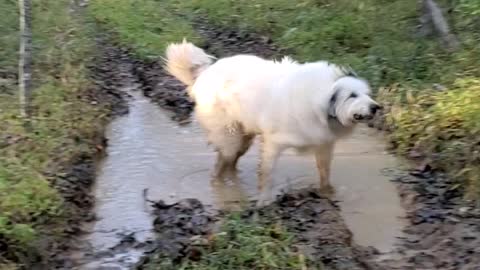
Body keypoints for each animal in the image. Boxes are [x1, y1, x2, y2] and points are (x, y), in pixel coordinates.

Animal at [164, 39, 378, 205]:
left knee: (231, 162)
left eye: (367, 94)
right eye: (352, 95)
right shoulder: (273, 143)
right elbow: (268, 174)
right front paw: (265, 201)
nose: (376, 107)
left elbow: (324, 171)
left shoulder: (324, 144)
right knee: (222, 163)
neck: (320, 102)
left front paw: (328, 193)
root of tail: (205, 72)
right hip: (229, 135)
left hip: (243, 135)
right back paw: (221, 186)